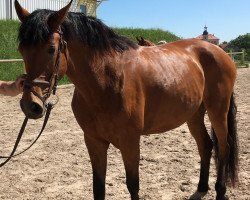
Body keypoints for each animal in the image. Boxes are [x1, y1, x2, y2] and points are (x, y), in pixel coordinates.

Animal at [15, 0, 238, 199]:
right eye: (21, 50)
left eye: (51, 49)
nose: (30, 105)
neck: (106, 80)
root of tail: (219, 51)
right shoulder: (94, 141)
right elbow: (98, 188)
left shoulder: (130, 141)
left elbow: (133, 185)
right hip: (193, 114)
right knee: (206, 145)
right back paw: (201, 188)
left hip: (218, 111)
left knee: (223, 146)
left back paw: (220, 191)